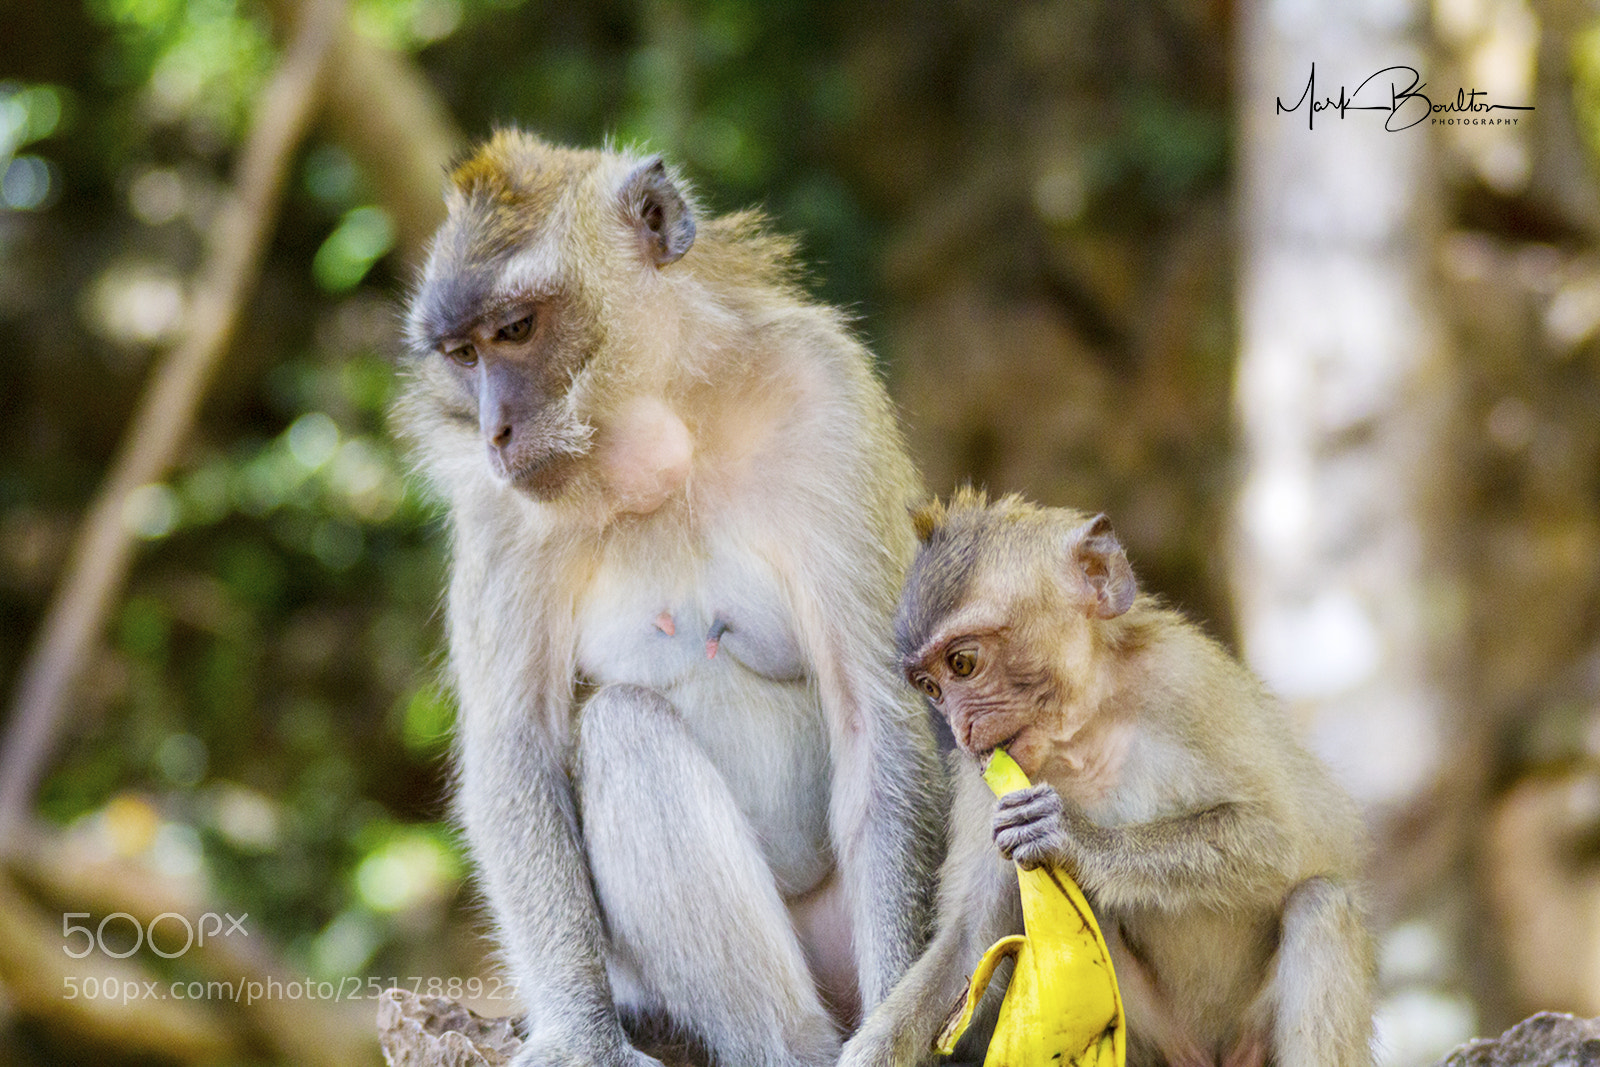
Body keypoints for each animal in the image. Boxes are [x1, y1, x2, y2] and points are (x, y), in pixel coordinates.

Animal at [395, 131, 946, 1067]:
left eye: (516, 330)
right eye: (464, 355)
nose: (495, 428)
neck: (664, 427)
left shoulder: (826, 399)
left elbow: (879, 710)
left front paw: (894, 1036)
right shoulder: (499, 508)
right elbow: (516, 749)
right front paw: (583, 1033)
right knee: (626, 728)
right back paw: (785, 1046)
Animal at [839, 490, 1374, 1067]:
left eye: (962, 663)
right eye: (930, 688)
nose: (961, 730)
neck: (1083, 732)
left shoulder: (1184, 677)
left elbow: (1281, 839)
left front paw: (1075, 837)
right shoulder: (981, 781)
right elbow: (969, 937)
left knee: (1321, 904)